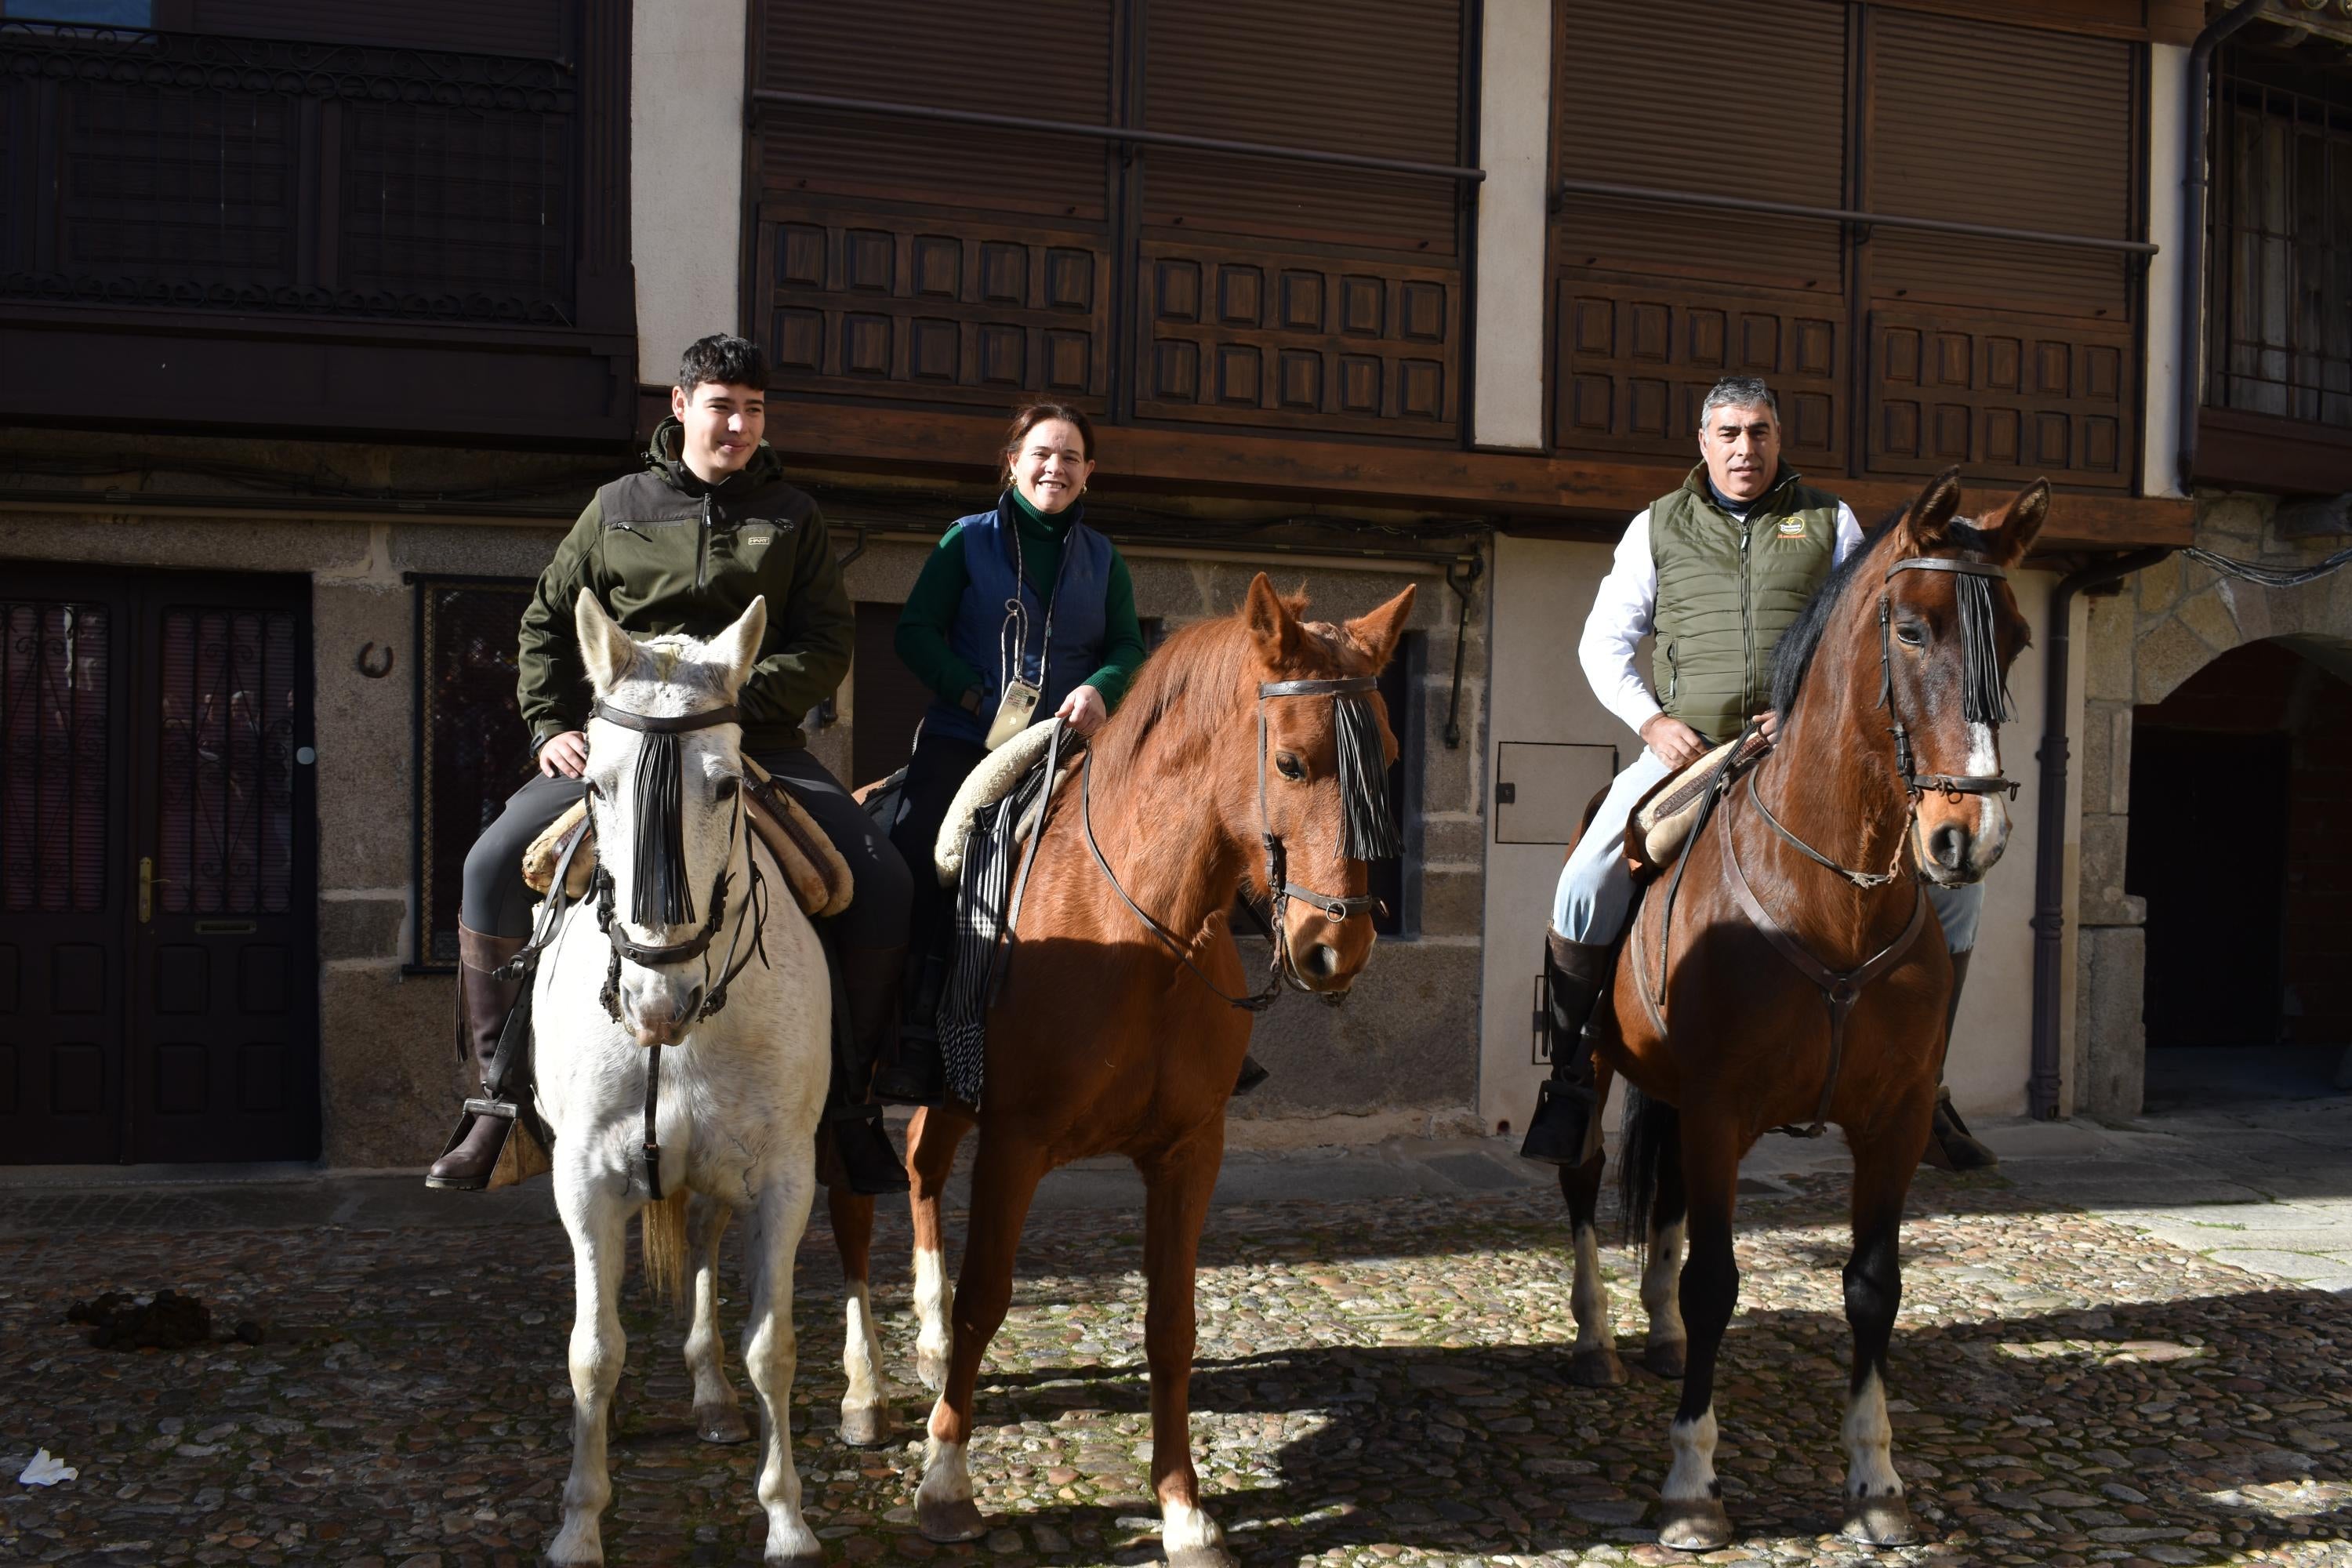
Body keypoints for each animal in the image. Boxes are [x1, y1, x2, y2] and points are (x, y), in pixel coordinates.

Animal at [529, 592, 870, 1568]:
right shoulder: (584, 1178)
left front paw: (788, 1518)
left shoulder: (784, 1175)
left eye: (726, 785)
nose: (656, 996)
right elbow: (593, 1352)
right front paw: (579, 1522)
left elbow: (773, 1347)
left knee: (709, 1254)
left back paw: (715, 1398)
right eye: (595, 785)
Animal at [828, 575, 1411, 1568]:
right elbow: (989, 1296)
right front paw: (947, 1481)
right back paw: (866, 1389)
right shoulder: (1017, 1143)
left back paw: (927, 1338)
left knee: (920, 1165)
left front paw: (1181, 1506)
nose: (1337, 946)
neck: (1139, 927)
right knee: (854, 1215)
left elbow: (1171, 1323)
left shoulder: (1188, 1151)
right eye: (1293, 764)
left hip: (950, 1094)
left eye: (1392, 758)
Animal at [1562, 472, 2060, 1552]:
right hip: (1595, 1068)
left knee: (1663, 1200)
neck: (1835, 893)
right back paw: (1594, 1337)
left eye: (2016, 637)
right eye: (1912, 630)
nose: (1971, 834)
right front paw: (1691, 1486)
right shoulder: (1721, 1110)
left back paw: (1660, 1336)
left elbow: (1873, 1286)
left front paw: (1876, 1482)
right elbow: (1717, 1280)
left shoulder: (1893, 1120)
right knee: (1581, 1178)